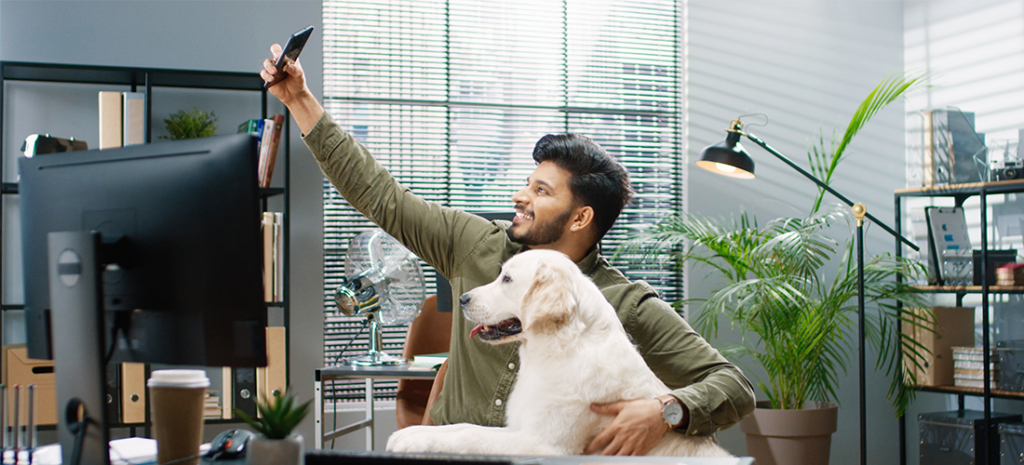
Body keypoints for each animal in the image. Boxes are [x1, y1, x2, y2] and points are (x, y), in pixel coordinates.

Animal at [385, 248, 729, 456]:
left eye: (507, 279)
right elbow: (464, 427)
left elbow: (470, 436)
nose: (463, 299)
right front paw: (413, 432)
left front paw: (410, 438)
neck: (561, 348)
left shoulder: (543, 444)